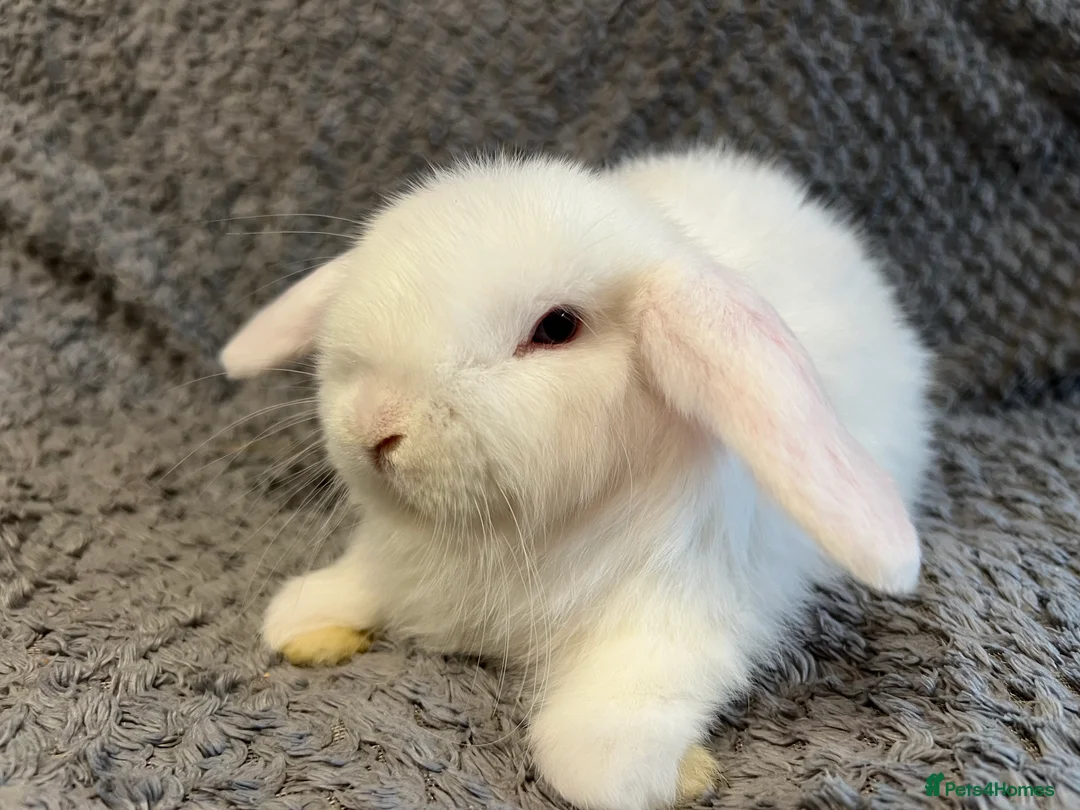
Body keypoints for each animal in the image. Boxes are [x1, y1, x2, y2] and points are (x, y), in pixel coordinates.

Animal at [219, 144, 933, 810]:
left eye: (556, 327)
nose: (374, 424)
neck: (514, 534)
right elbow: (341, 590)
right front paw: (310, 621)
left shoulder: (671, 626)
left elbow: (593, 760)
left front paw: (685, 776)